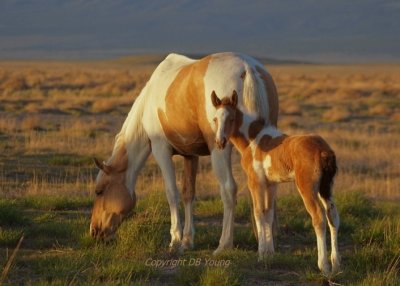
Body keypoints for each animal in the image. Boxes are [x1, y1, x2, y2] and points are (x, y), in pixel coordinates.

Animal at [89, 52, 280, 252]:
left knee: (229, 189)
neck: (150, 99)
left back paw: (224, 244)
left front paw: (175, 239)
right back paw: (269, 241)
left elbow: (171, 192)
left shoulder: (161, 149)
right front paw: (188, 240)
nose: (94, 231)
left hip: (219, 150)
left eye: (99, 191)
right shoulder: (190, 155)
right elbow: (188, 193)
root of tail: (247, 69)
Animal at [211, 90, 340, 274]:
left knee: (319, 218)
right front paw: (269, 253)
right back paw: (336, 263)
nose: (220, 142)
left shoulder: (255, 182)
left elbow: (258, 212)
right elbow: (268, 213)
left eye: (231, 118)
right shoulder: (271, 184)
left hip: (307, 189)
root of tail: (323, 149)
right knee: (333, 216)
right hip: (326, 188)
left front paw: (261, 254)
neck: (253, 140)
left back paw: (324, 265)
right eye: (215, 119)